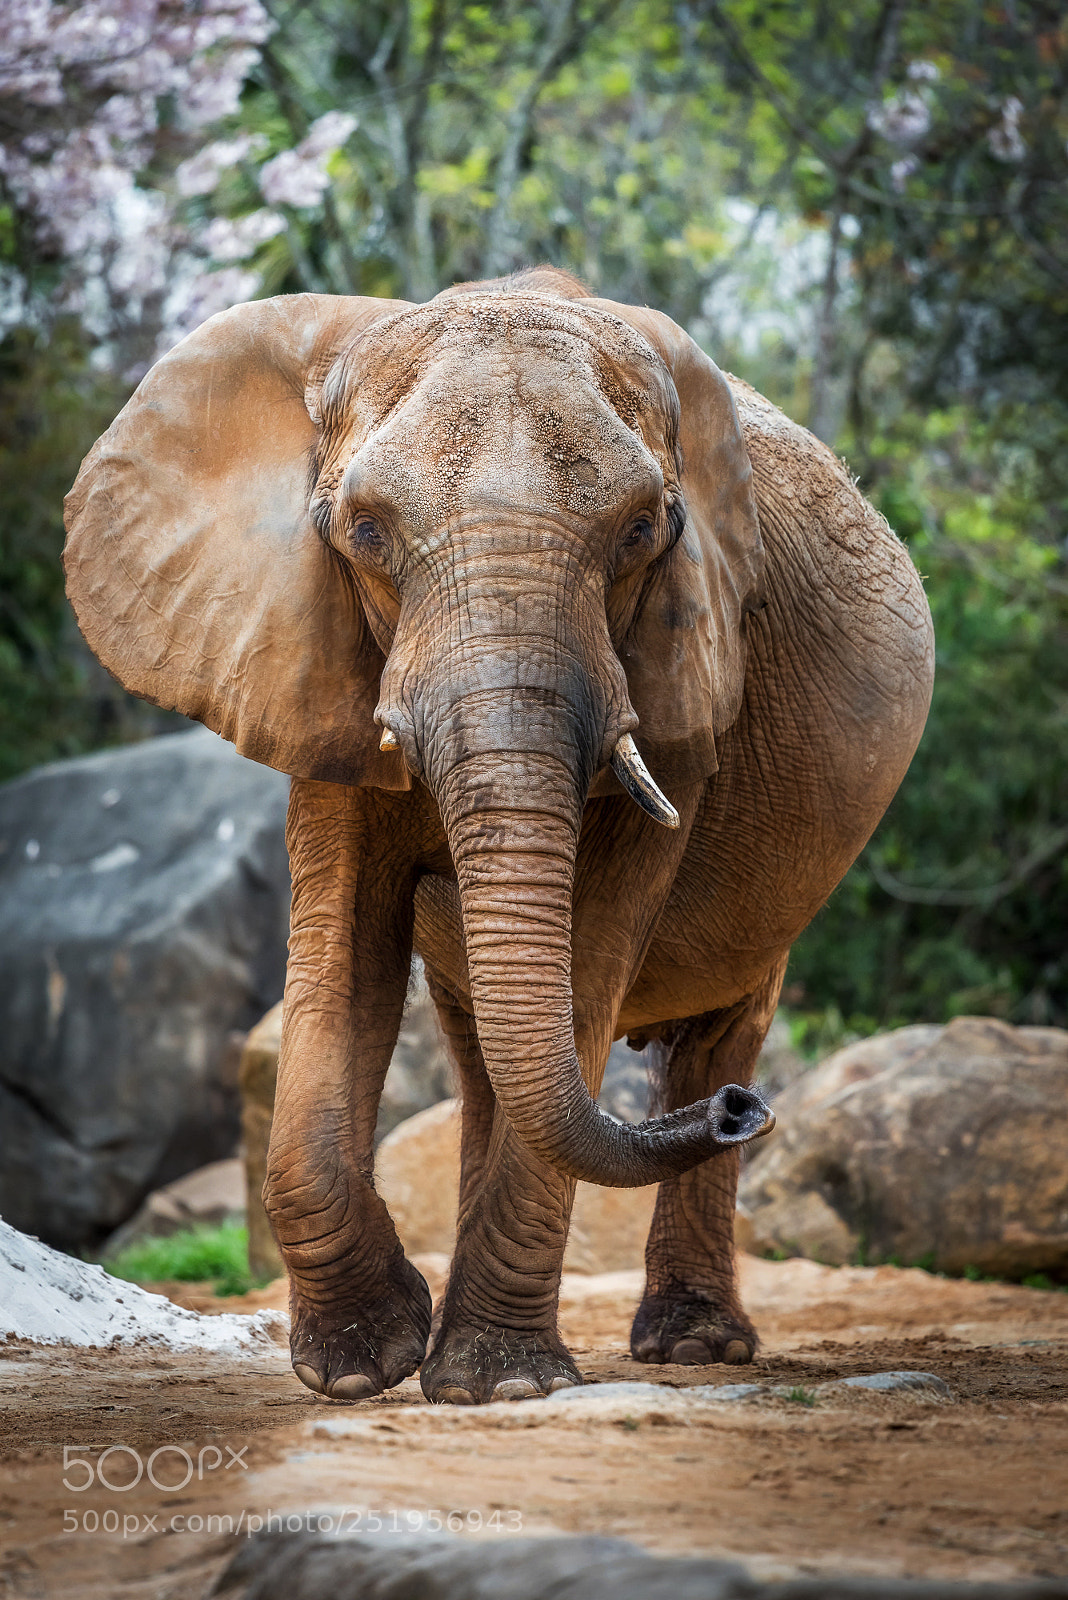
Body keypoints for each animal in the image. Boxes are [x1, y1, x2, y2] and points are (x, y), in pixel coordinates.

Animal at [64, 266, 934, 1405]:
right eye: (364, 530)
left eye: (644, 530)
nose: (749, 1111)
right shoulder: (318, 660)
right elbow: (345, 946)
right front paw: (363, 1364)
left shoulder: (683, 685)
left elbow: (591, 948)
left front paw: (498, 1387)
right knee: (484, 1055)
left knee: (715, 1028)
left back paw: (693, 1344)